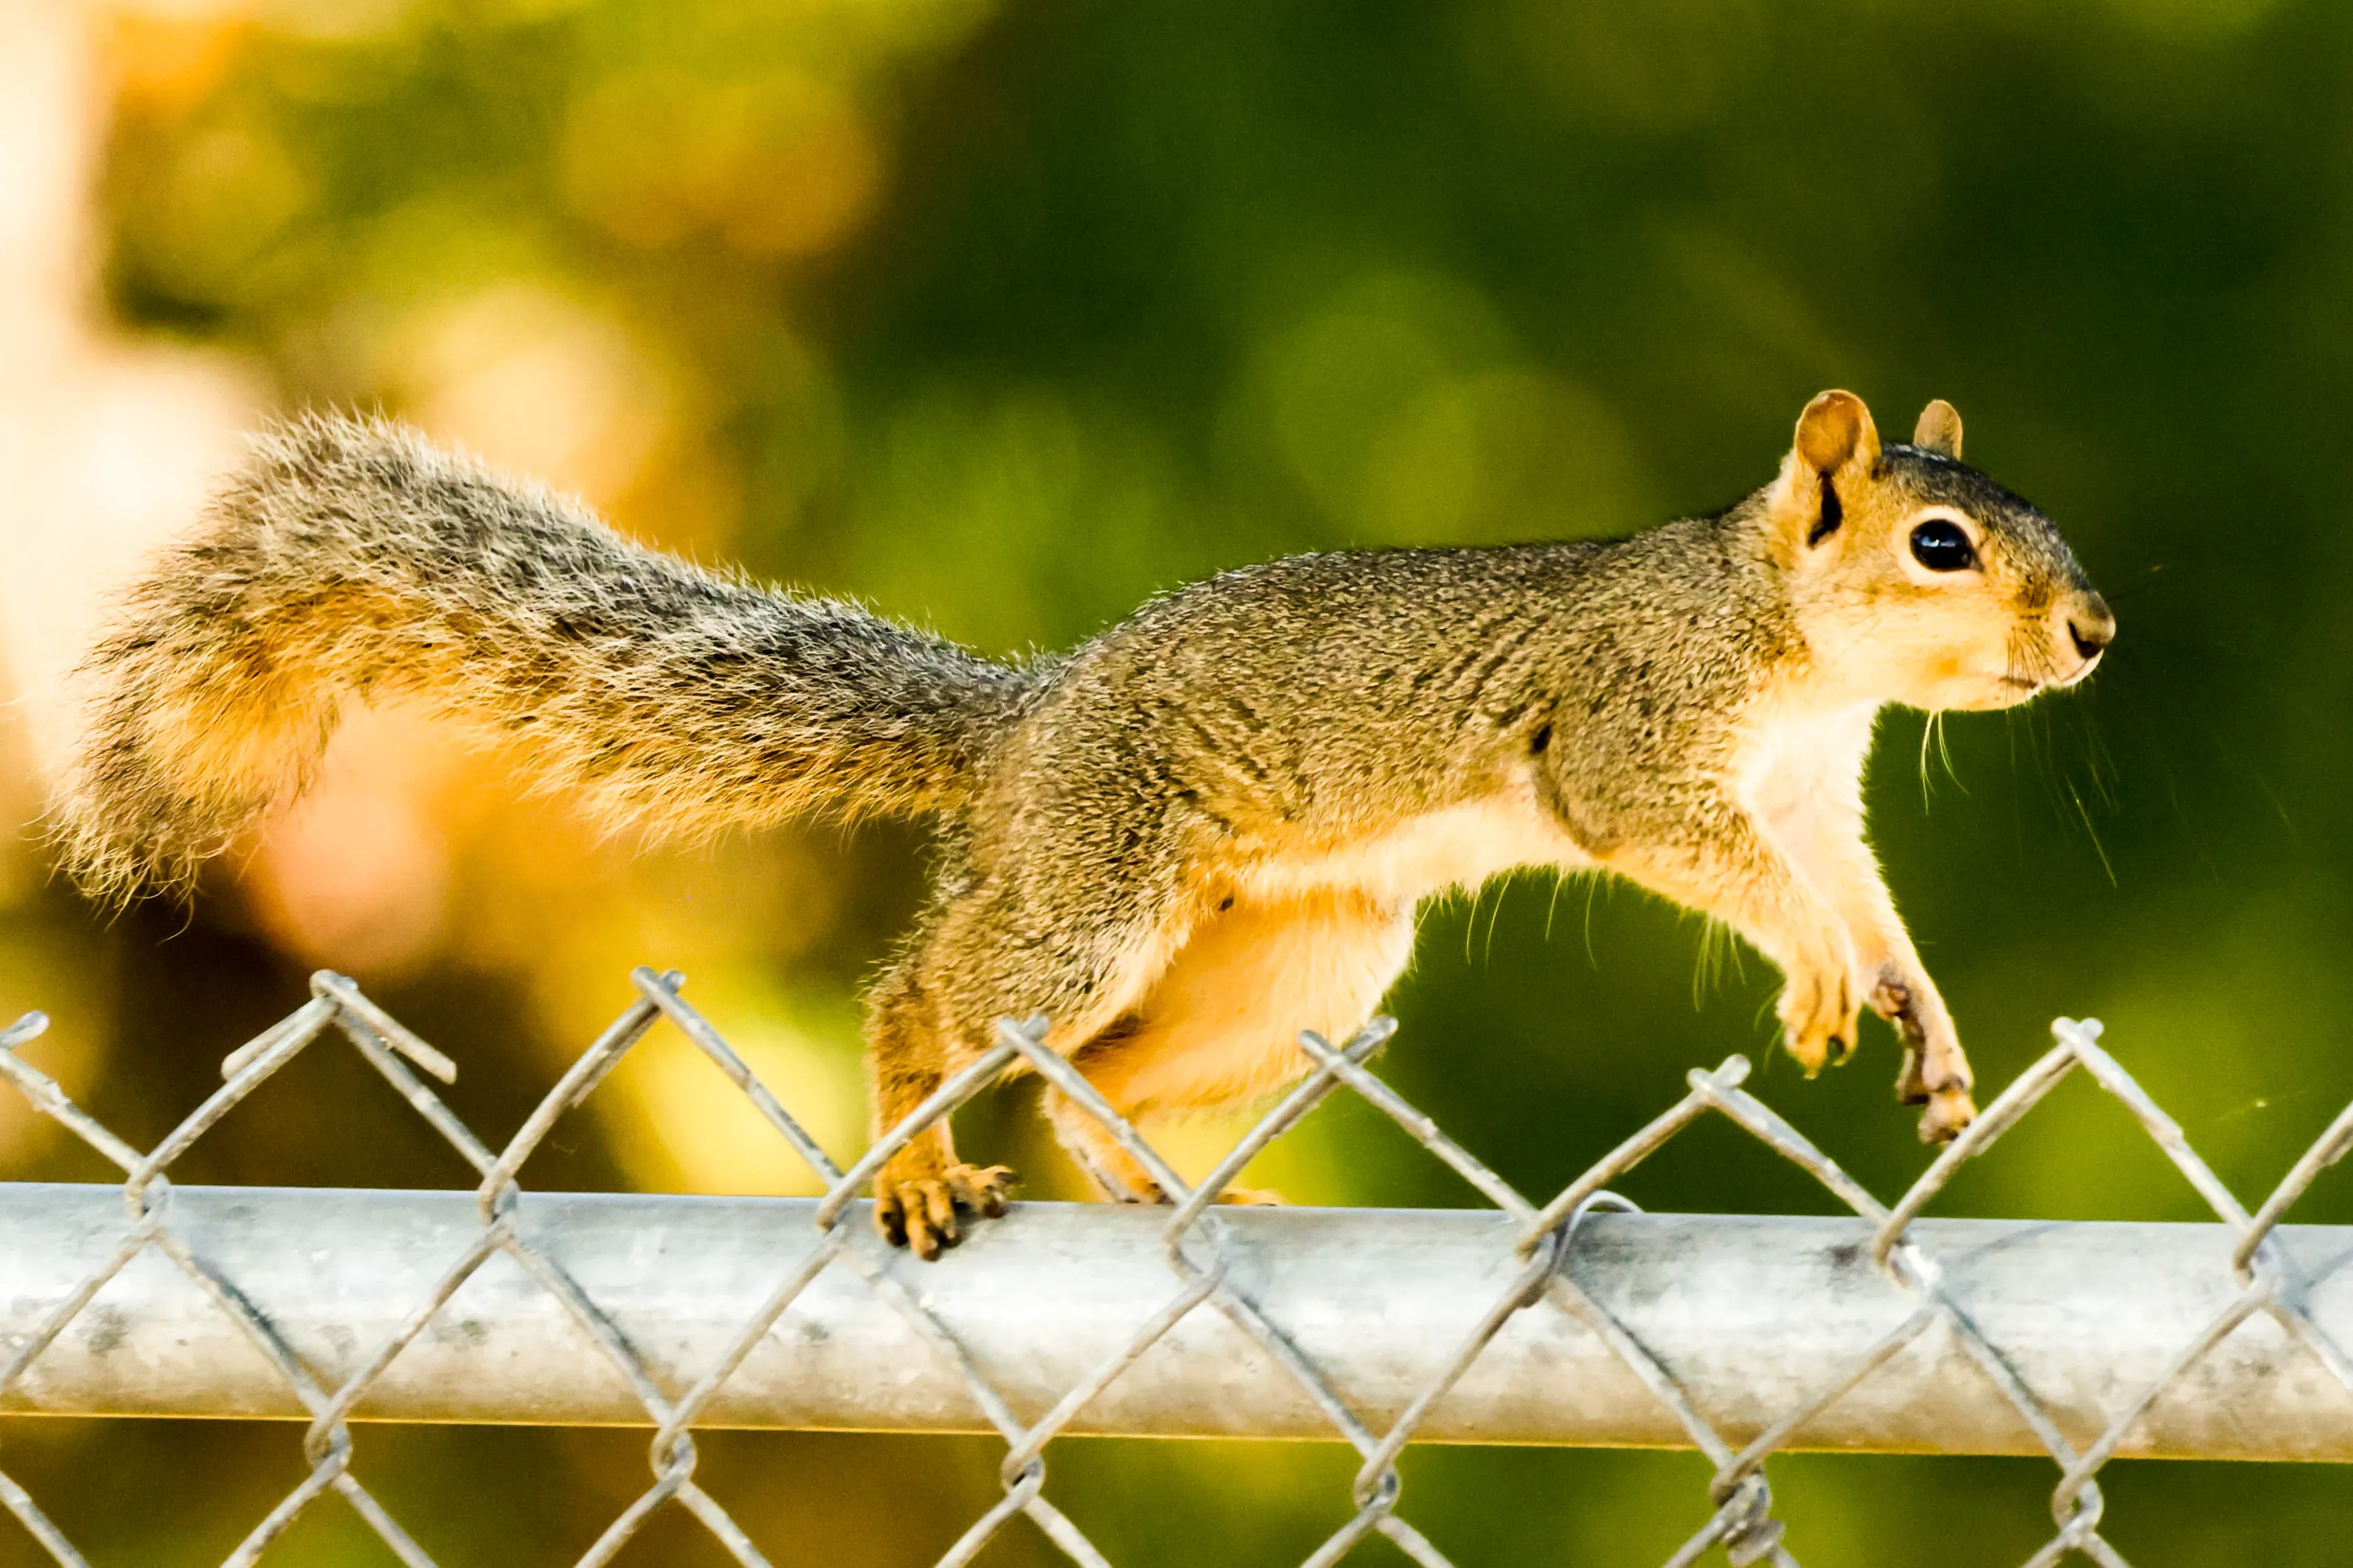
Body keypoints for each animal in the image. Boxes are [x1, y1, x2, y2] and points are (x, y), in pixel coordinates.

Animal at [50, 389, 2112, 1258]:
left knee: (1077, 1071)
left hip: (1304, 954)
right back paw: (911, 1161)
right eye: (1942, 542)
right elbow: (1734, 875)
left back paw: (1153, 1187)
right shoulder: (1639, 740)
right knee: (936, 1000)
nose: (2092, 631)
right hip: (1097, 885)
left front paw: (1920, 1014)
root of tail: (1025, 727)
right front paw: (1824, 981)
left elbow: (1853, 890)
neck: (1788, 645)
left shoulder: (1811, 789)